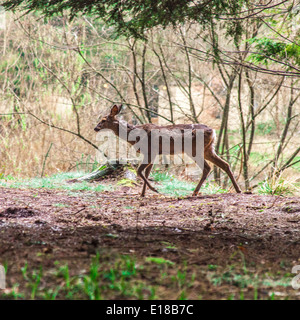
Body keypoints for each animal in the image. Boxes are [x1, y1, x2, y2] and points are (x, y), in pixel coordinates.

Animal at [94, 104, 241, 196]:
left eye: (103, 119)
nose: (95, 128)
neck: (134, 136)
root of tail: (213, 131)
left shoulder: (150, 151)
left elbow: (140, 171)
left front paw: (153, 190)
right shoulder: (152, 153)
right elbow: (146, 172)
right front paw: (143, 194)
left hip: (195, 150)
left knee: (207, 167)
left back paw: (194, 192)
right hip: (208, 149)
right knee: (224, 164)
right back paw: (238, 190)